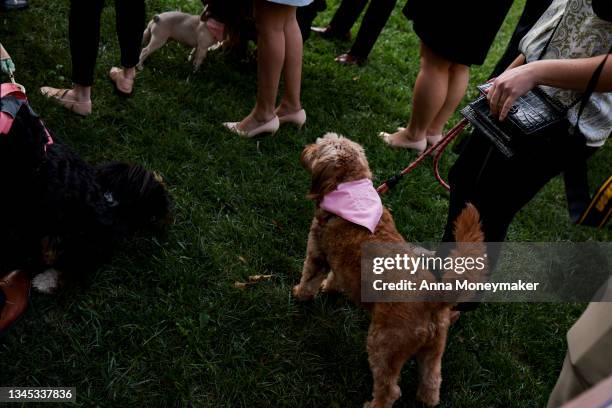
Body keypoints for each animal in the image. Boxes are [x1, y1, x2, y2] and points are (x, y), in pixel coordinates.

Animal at [294, 132, 486, 406]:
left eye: (319, 147)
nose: (306, 148)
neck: (349, 188)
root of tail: (434, 297)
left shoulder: (317, 252)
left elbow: (308, 279)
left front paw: (300, 294)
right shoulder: (340, 264)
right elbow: (335, 278)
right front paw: (329, 288)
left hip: (383, 345)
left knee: (389, 389)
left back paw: (373, 403)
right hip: (433, 351)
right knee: (432, 384)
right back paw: (426, 400)